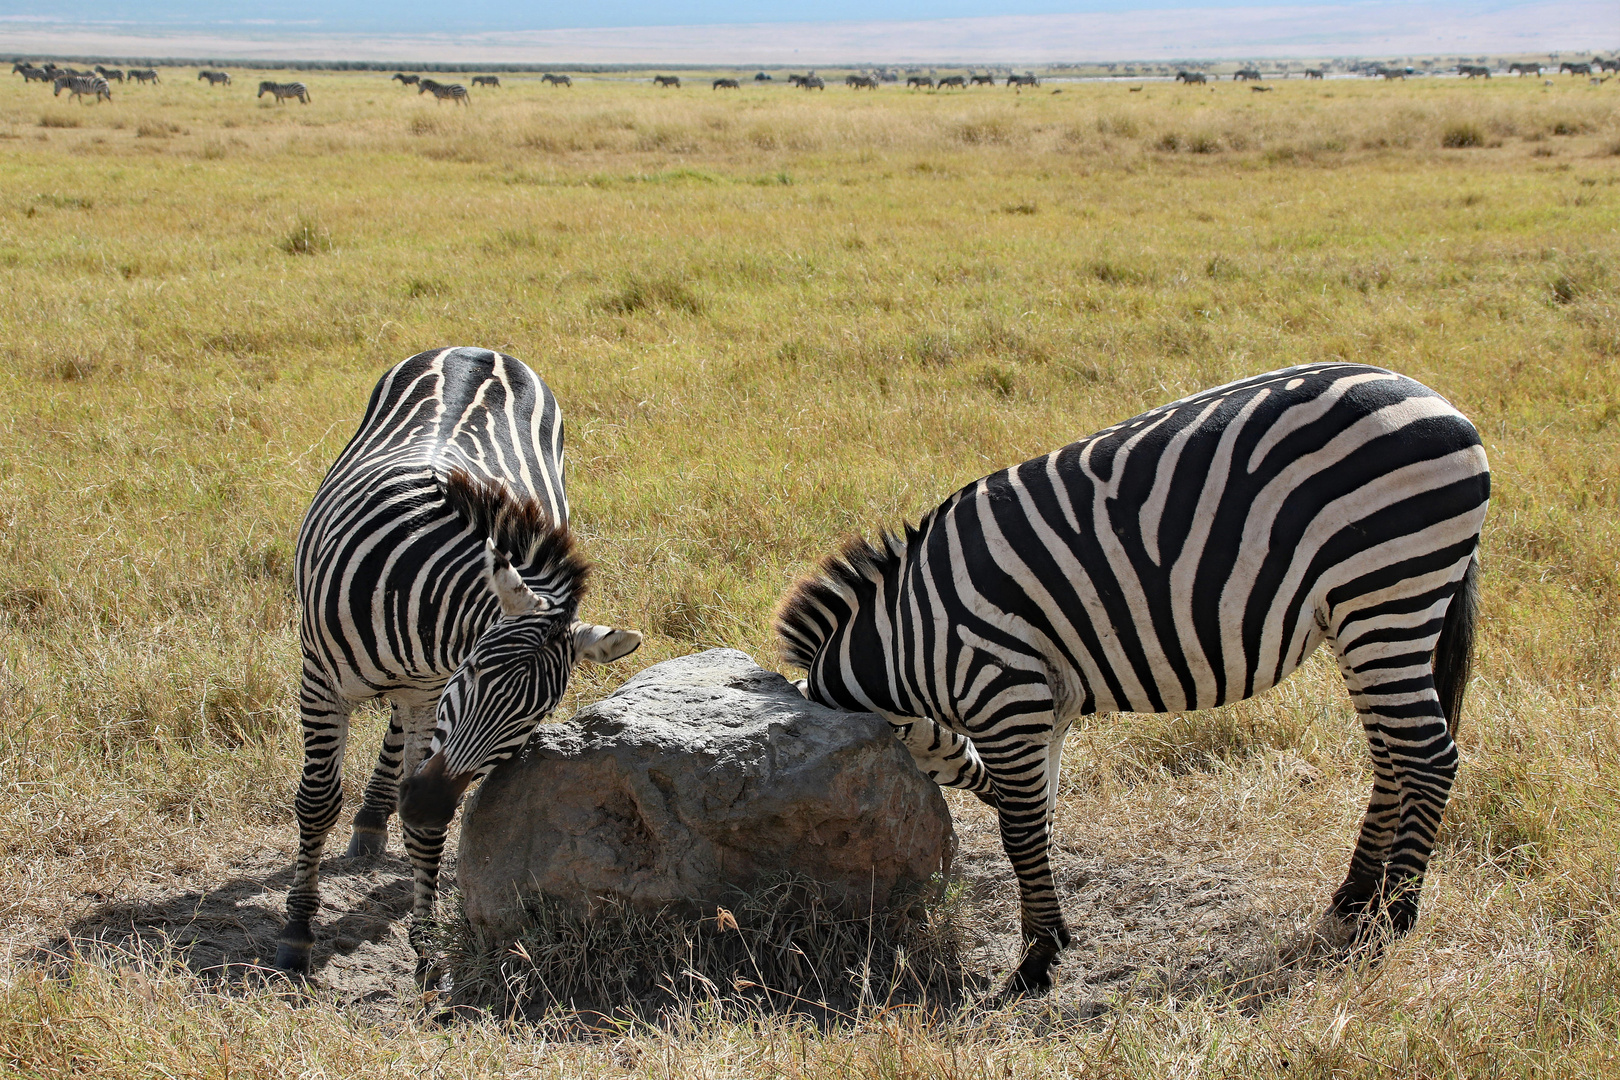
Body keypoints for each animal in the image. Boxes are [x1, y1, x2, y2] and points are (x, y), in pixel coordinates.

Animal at [272, 351, 638, 977]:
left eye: (533, 719)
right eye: (475, 674)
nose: (421, 804)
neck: (425, 609)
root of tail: (485, 351)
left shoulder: (429, 692)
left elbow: (427, 830)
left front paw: (424, 948)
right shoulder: (320, 677)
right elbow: (317, 802)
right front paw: (298, 930)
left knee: (398, 729)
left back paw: (375, 816)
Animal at [777, 365, 1483, 997]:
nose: (980, 788)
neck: (904, 636)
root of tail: (1442, 404)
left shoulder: (1003, 692)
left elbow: (1021, 830)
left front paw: (1035, 963)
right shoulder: (1046, 708)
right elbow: (1041, 818)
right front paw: (1050, 936)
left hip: (1386, 590)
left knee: (1428, 758)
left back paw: (1393, 922)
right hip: (1366, 614)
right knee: (1392, 757)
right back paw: (1354, 898)